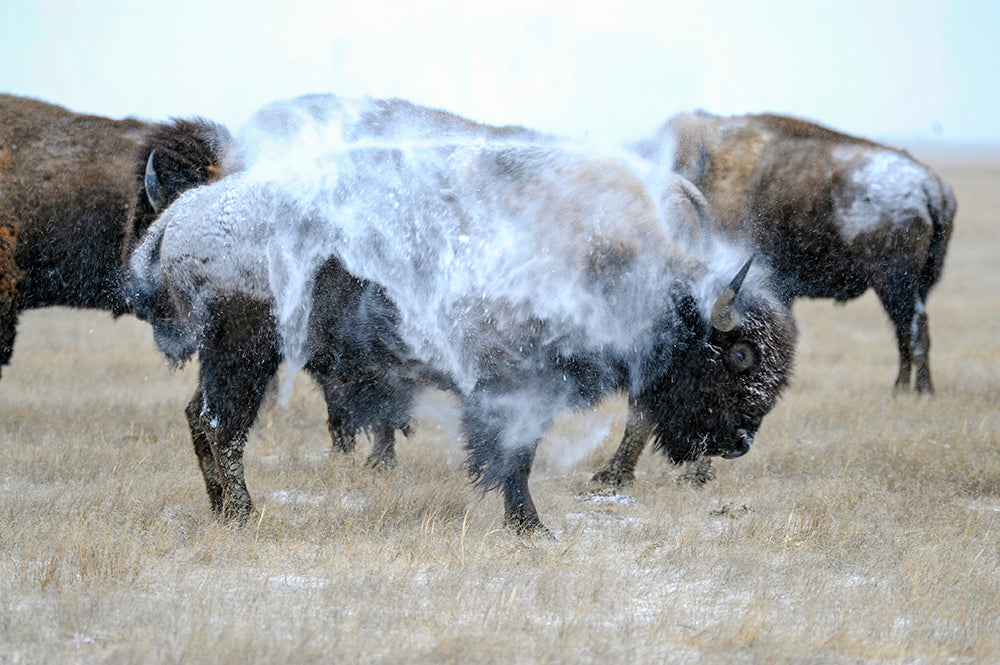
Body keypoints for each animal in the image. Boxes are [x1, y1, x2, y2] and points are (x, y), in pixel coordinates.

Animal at [129, 93, 796, 532]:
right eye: (740, 354)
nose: (740, 441)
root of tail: (181, 215)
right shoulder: (513, 385)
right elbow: (513, 456)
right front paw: (530, 527)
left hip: (232, 357)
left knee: (202, 420)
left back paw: (222, 512)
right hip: (242, 351)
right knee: (222, 425)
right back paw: (244, 515)